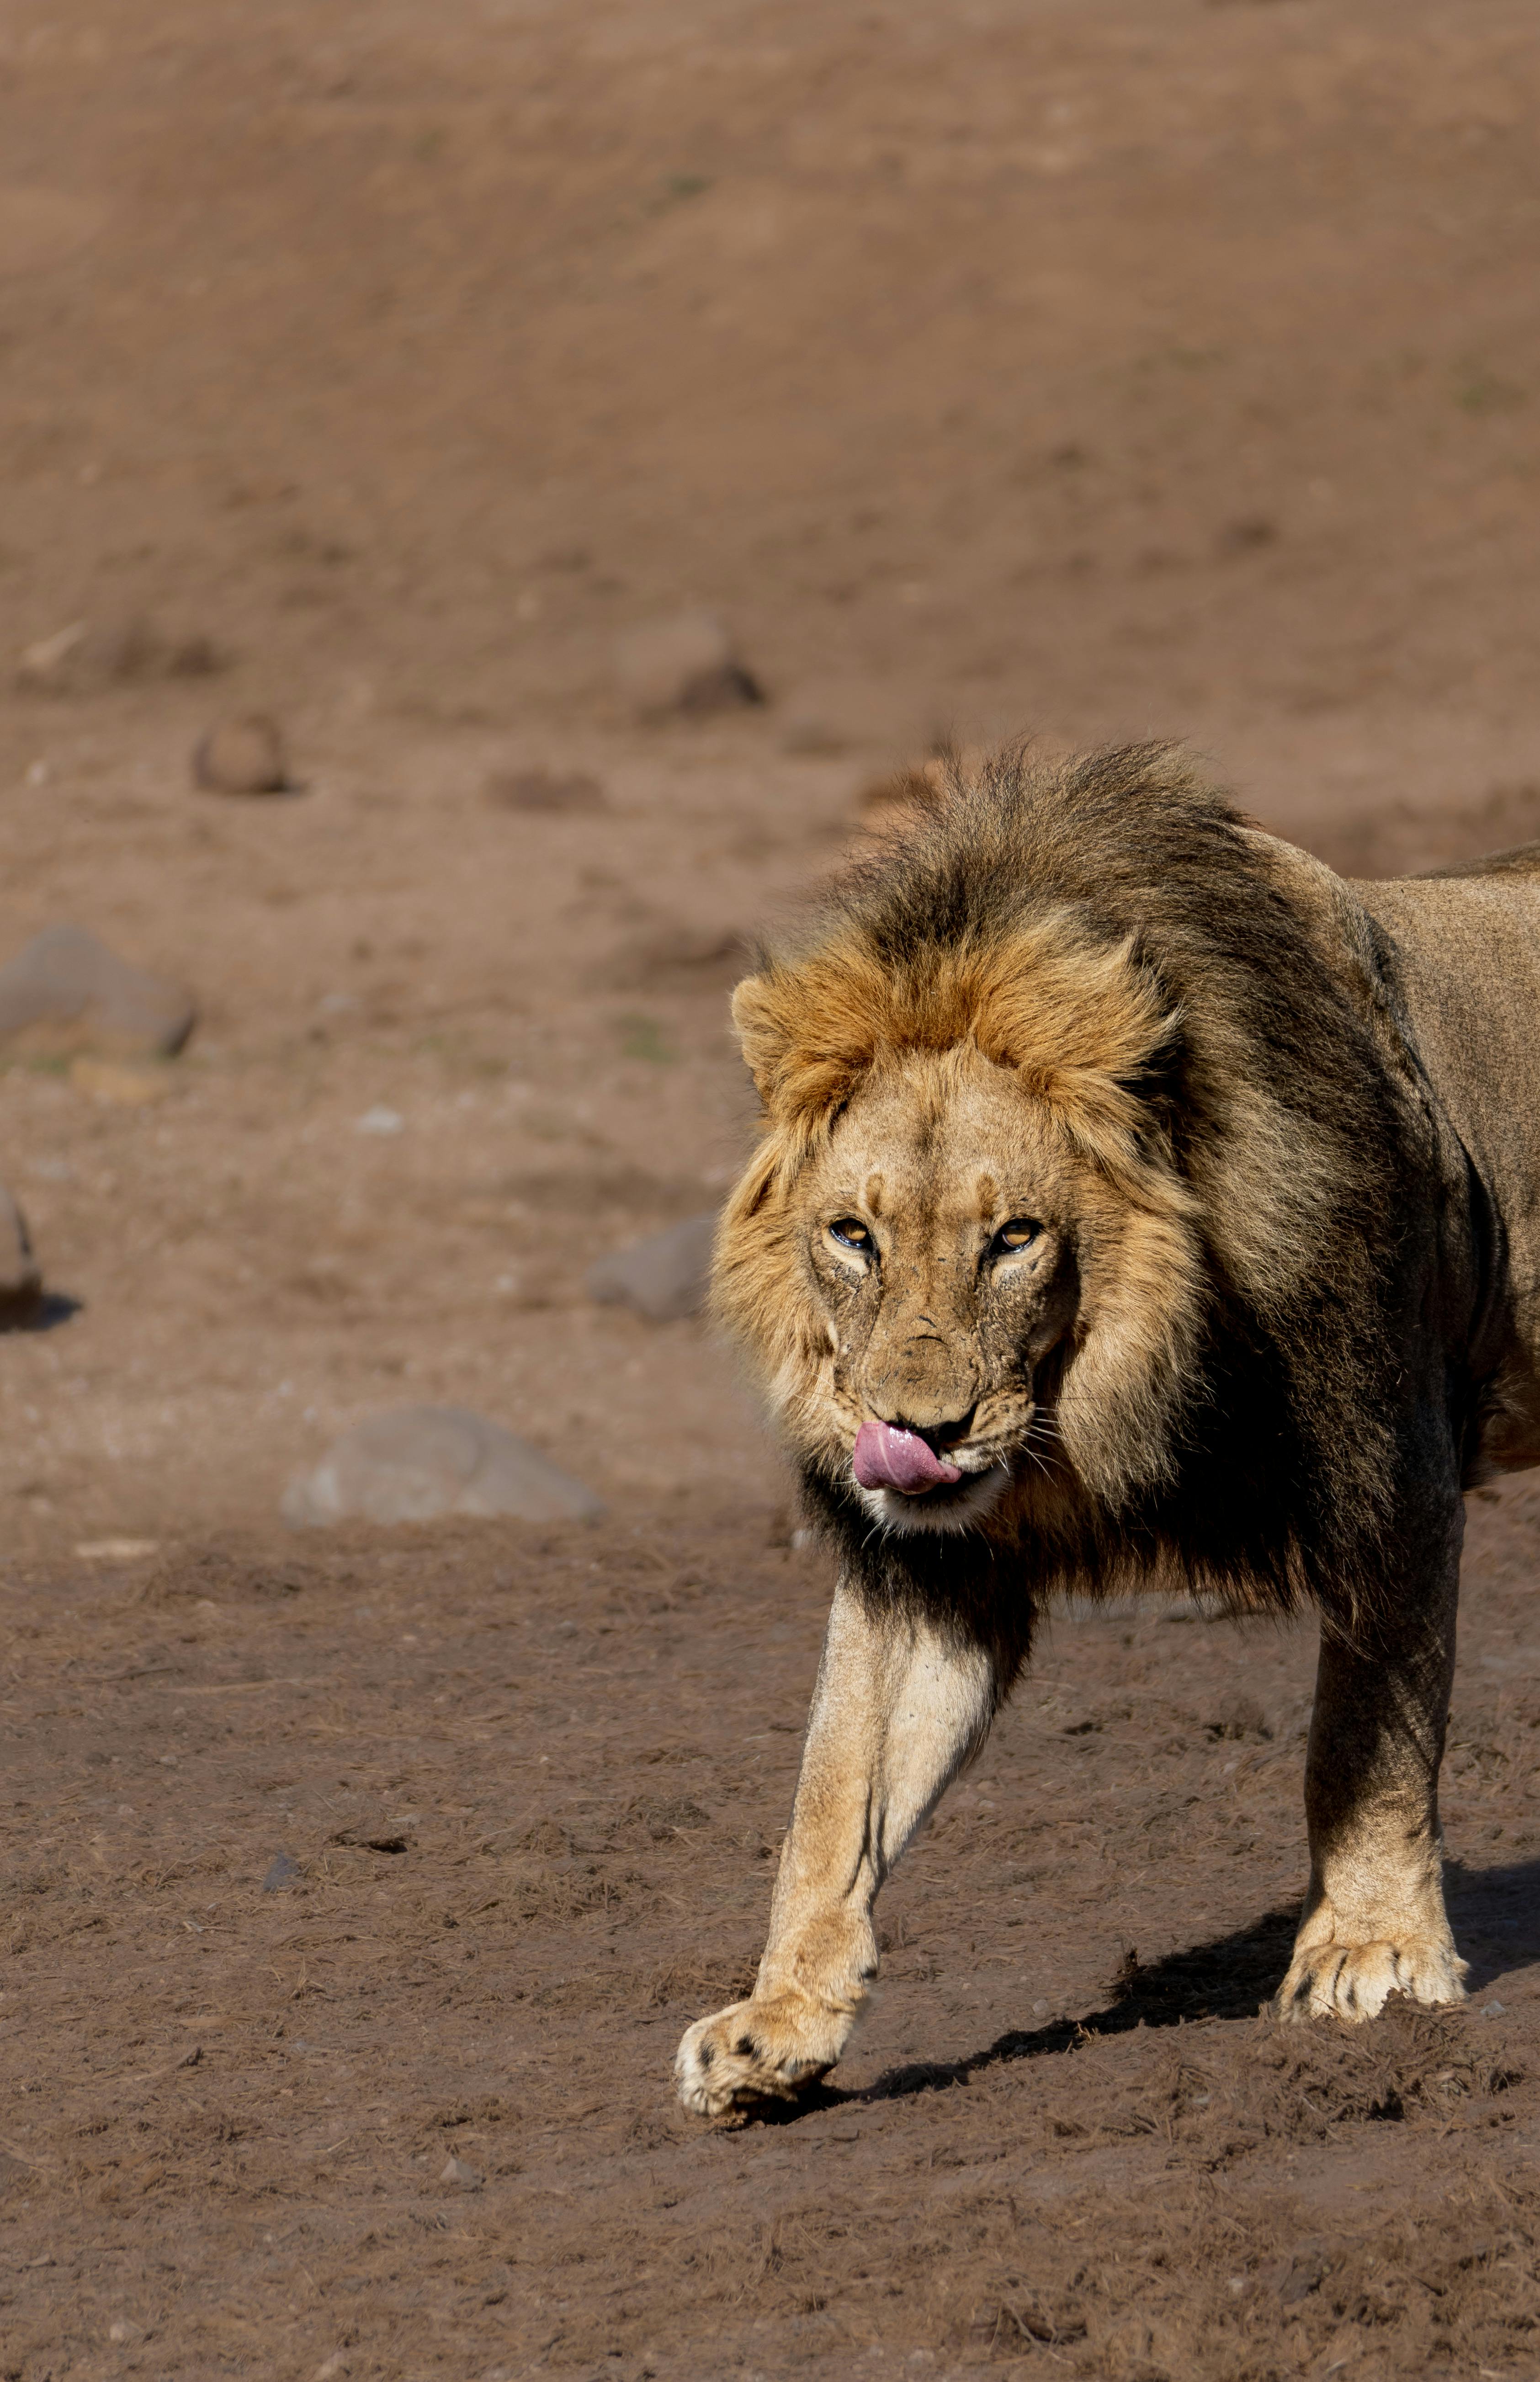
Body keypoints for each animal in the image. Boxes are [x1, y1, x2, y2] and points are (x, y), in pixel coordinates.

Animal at [675, 742, 1540, 2120]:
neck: (1124, 1386)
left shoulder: (1390, 1464)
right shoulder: (924, 1562)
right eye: (853, 1235)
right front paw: (780, 2018)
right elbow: (835, 1785)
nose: (916, 1430)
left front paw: (1370, 1950)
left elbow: (1364, 1733)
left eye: (1015, 1236)